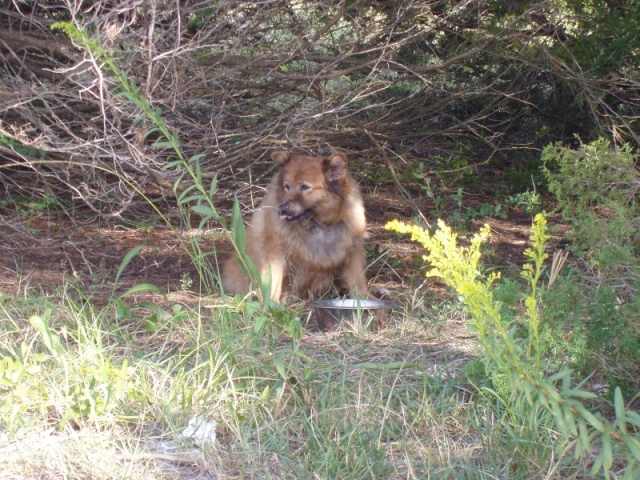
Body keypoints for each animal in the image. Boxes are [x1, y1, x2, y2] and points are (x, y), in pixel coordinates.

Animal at [222, 150, 368, 302]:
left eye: (304, 187)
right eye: (287, 186)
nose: (283, 209)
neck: (318, 225)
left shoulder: (353, 253)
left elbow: (359, 283)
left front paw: (366, 302)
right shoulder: (276, 252)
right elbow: (272, 282)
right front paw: (271, 303)